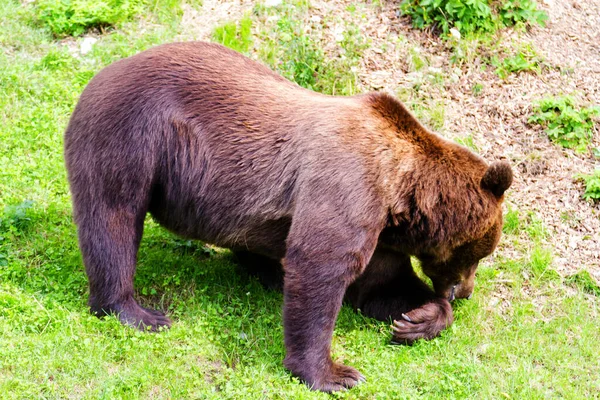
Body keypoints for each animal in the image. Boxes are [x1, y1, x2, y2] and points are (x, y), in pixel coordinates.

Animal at [64, 42, 510, 392]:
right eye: (480, 252)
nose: (466, 291)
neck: (401, 194)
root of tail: (101, 71)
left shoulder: (381, 233)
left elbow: (382, 286)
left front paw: (415, 318)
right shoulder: (348, 187)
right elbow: (319, 267)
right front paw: (335, 373)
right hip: (132, 135)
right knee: (113, 219)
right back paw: (136, 311)